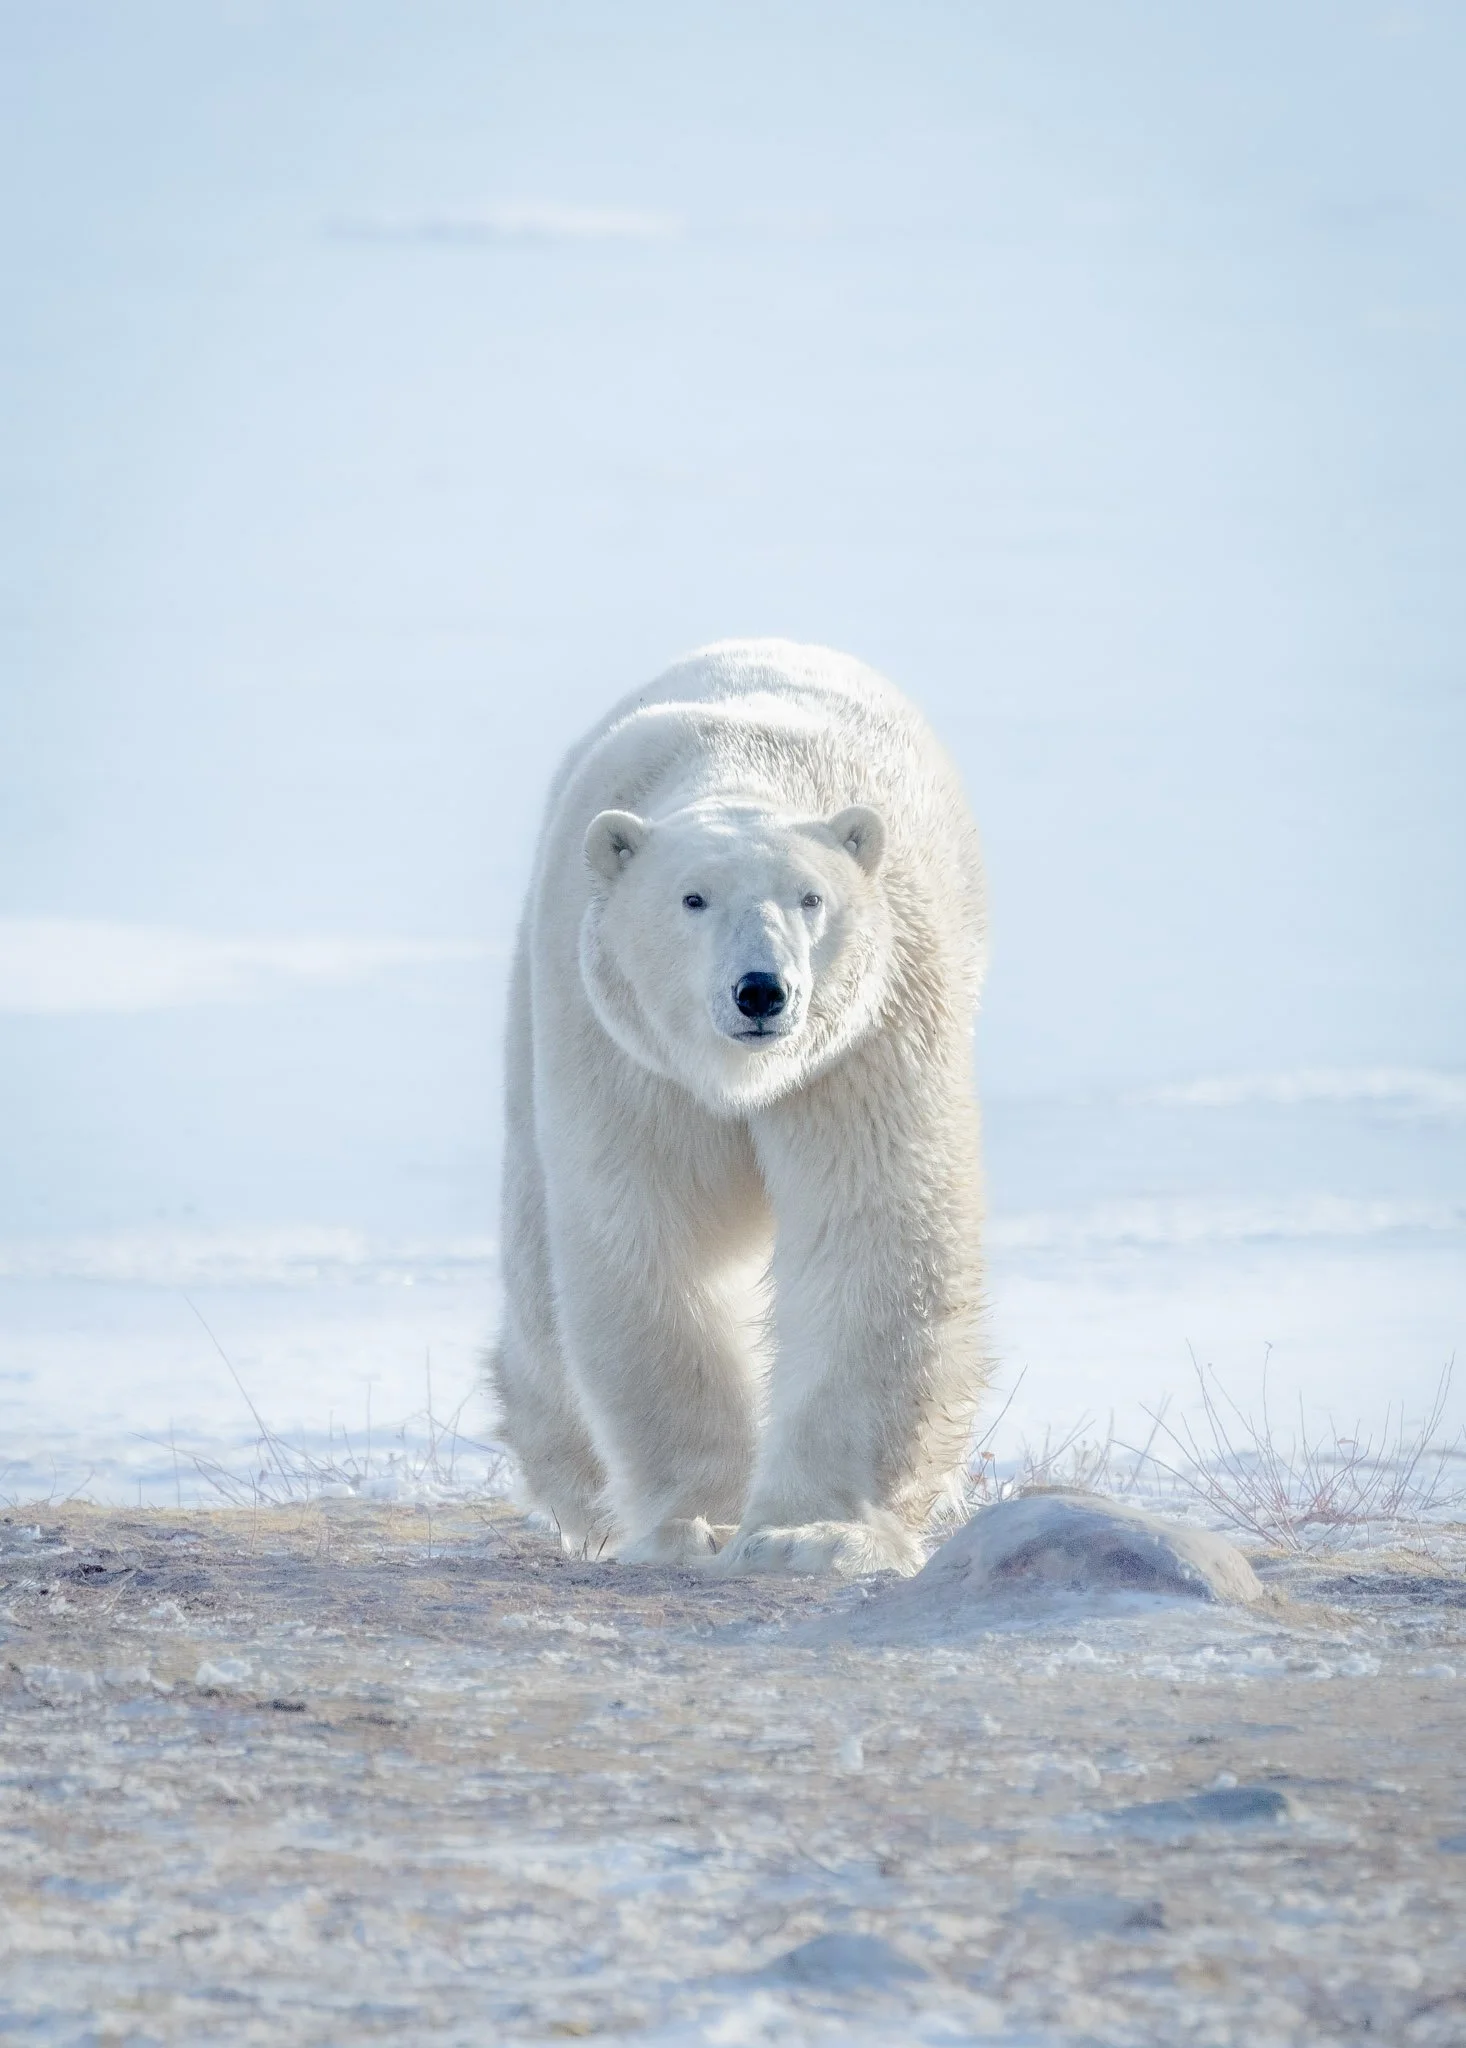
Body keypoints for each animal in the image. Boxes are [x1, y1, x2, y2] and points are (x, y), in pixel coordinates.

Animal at [489, 638, 989, 1575]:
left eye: (810, 898)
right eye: (692, 898)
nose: (761, 991)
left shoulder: (863, 1040)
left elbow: (871, 1225)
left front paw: (813, 1532)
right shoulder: (629, 1056)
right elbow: (656, 1235)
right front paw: (696, 1522)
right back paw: (579, 1491)